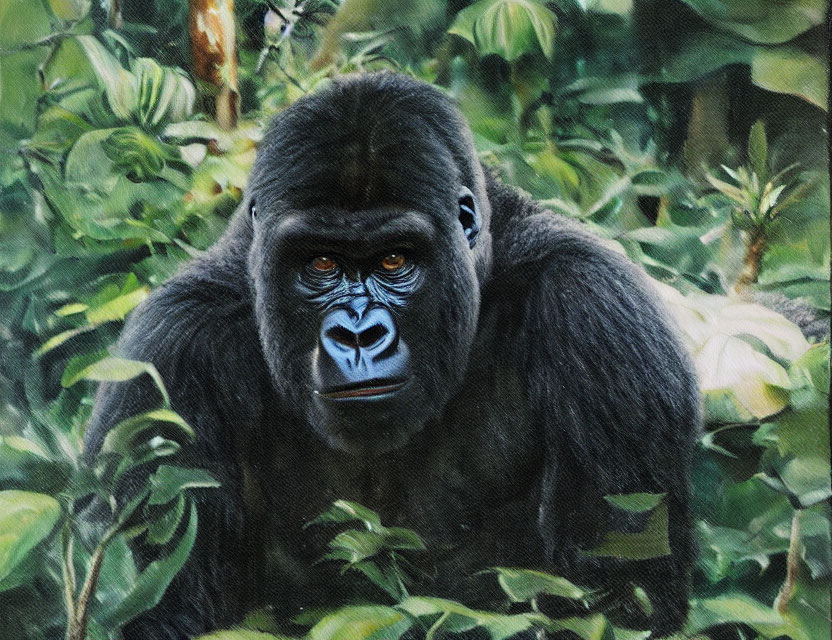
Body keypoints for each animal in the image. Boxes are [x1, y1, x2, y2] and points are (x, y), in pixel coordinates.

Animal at [84, 72, 700, 636]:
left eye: (394, 260)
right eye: (321, 262)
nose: (359, 335)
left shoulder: (598, 319)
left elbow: (621, 599)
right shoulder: (173, 351)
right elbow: (177, 611)